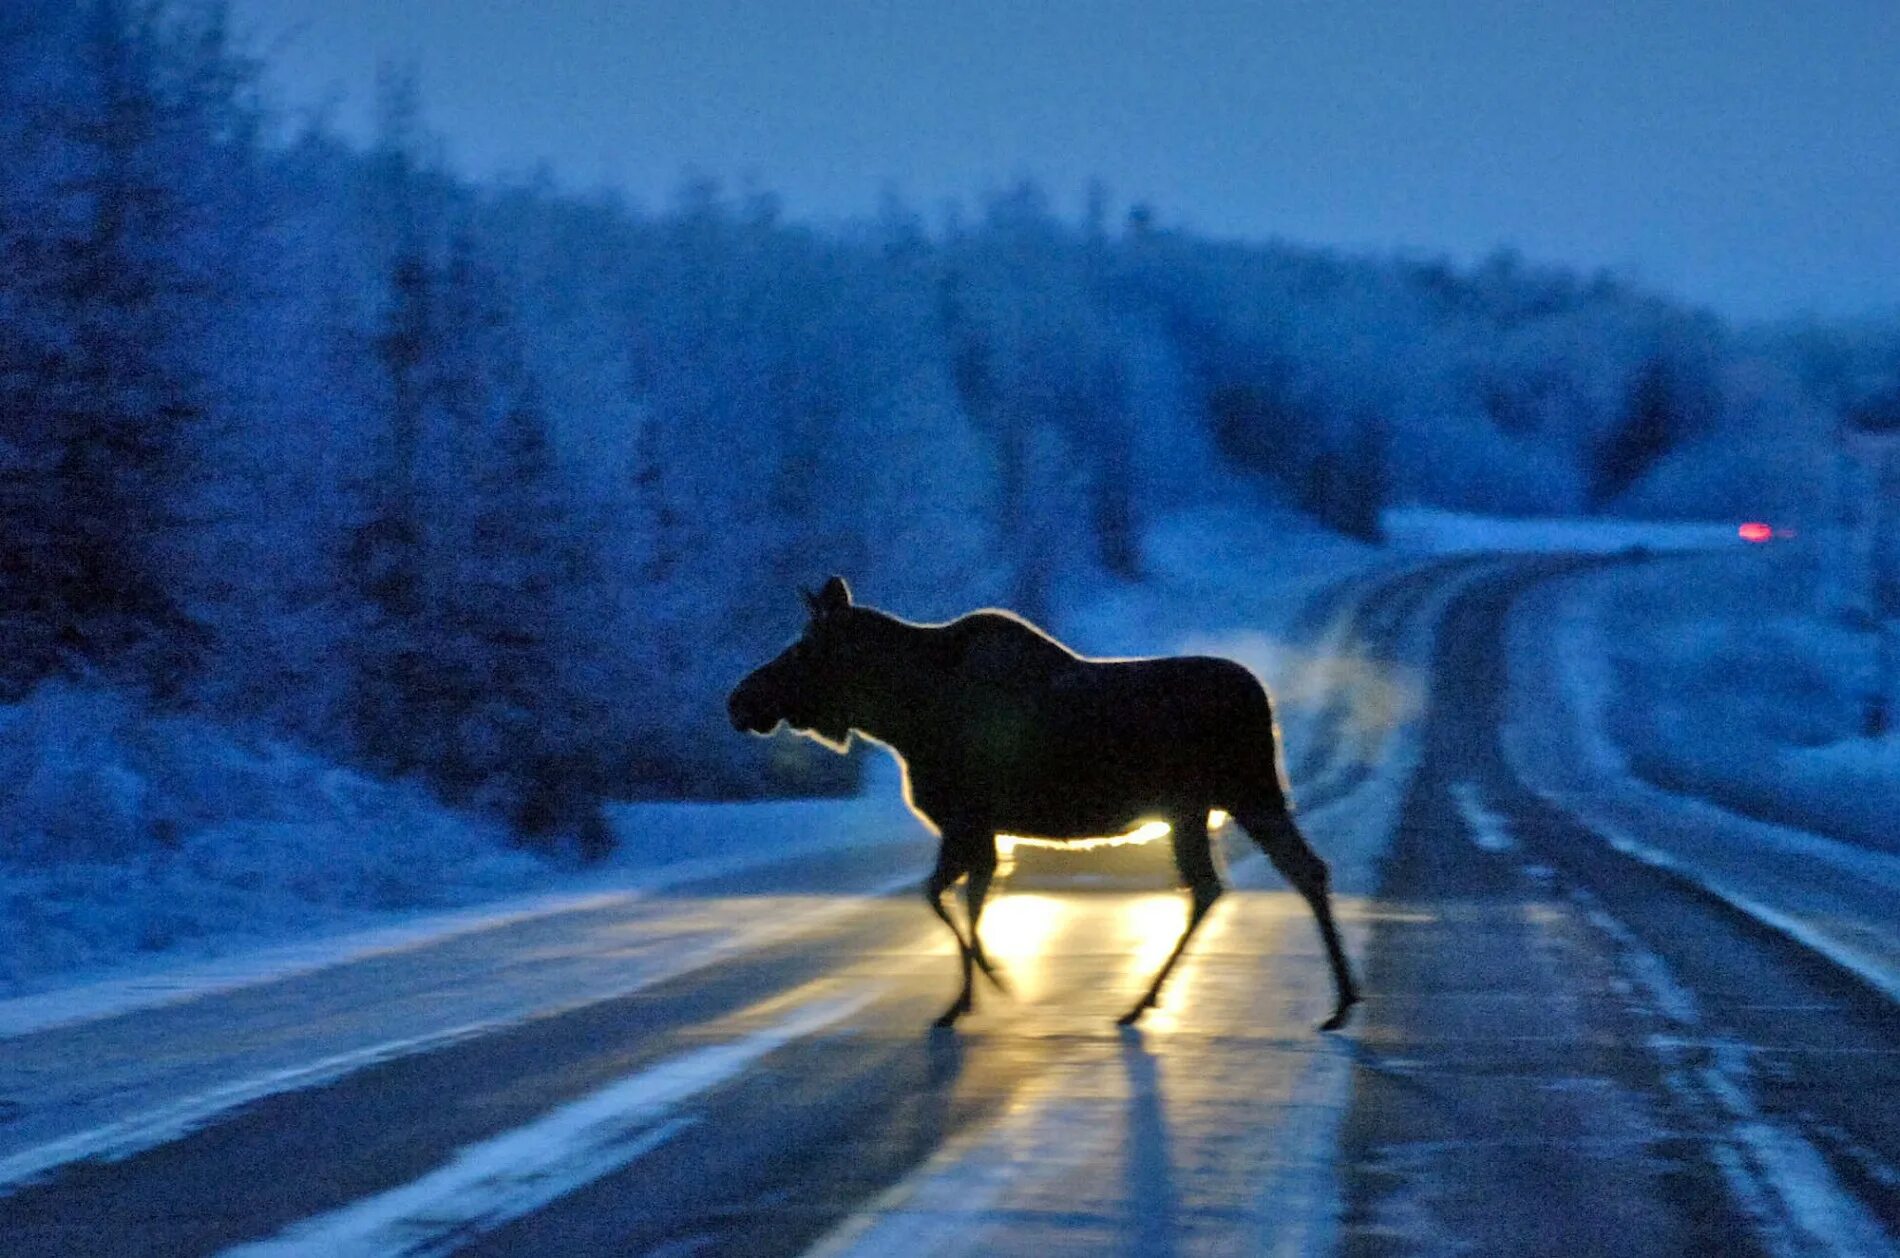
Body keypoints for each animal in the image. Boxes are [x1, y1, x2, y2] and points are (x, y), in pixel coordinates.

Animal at [718, 581, 1360, 1033]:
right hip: (1228, 803)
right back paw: (1338, 1001)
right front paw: (968, 998)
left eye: (803, 648)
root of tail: (1262, 700)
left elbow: (942, 896)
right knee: (1289, 873)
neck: (898, 717)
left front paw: (993, 984)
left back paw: (1144, 1002)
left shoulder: (965, 822)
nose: (739, 699)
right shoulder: (982, 832)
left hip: (1225, 798)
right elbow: (967, 899)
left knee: (1228, 883)